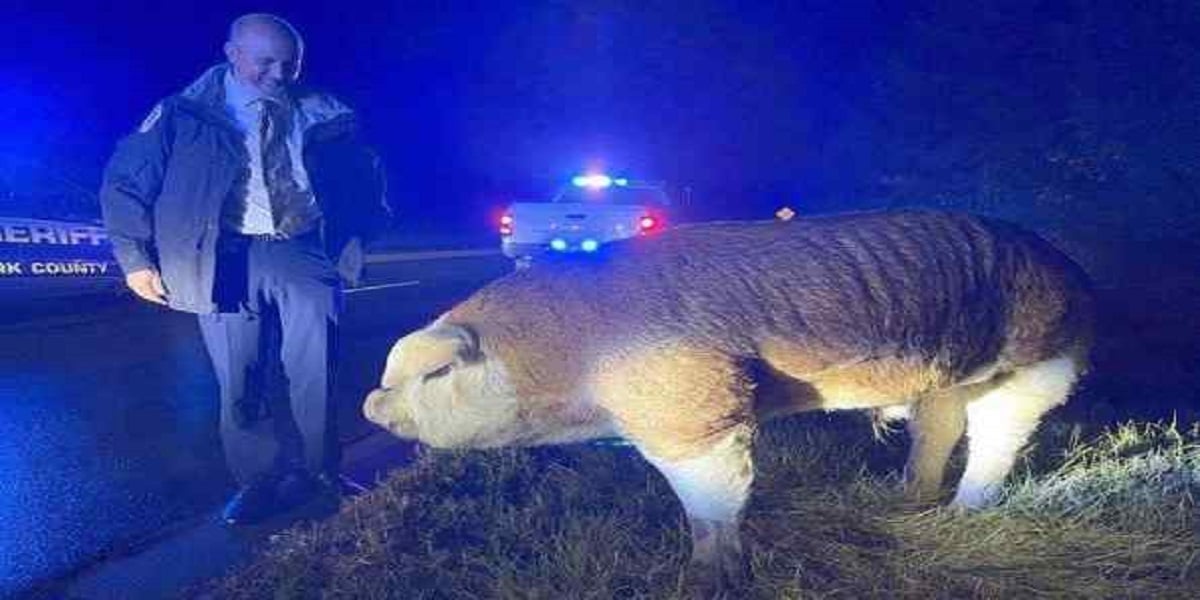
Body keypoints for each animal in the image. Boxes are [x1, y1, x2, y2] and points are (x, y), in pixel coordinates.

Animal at [362, 208, 1099, 592]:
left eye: (434, 374)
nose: (370, 404)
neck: (569, 361)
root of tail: (1074, 269)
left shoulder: (693, 406)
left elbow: (712, 497)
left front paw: (706, 573)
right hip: (947, 377)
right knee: (938, 426)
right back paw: (905, 499)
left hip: (1038, 362)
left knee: (998, 434)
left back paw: (966, 511)